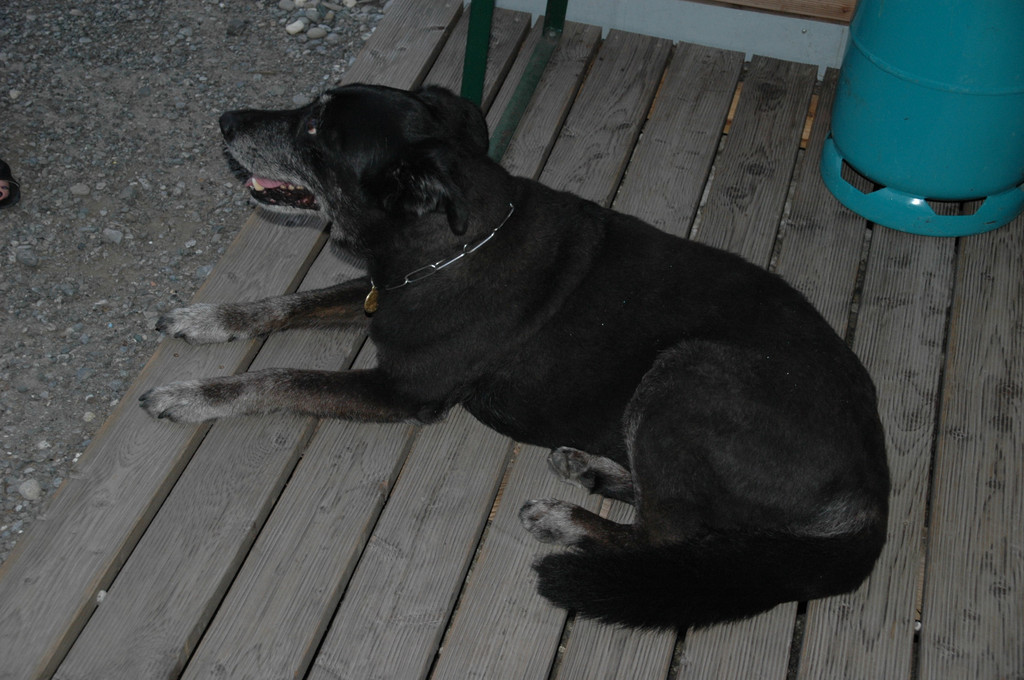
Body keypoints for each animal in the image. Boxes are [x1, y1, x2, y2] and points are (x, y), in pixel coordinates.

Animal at [139, 84, 890, 630]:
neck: (453, 240)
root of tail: (874, 493)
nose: (226, 119)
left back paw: (566, 518)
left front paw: (190, 395)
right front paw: (208, 318)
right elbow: (292, 302)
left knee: (669, 534)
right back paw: (592, 469)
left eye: (317, 131)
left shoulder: (401, 391)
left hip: (687, 372)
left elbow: (278, 376)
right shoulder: (381, 293)